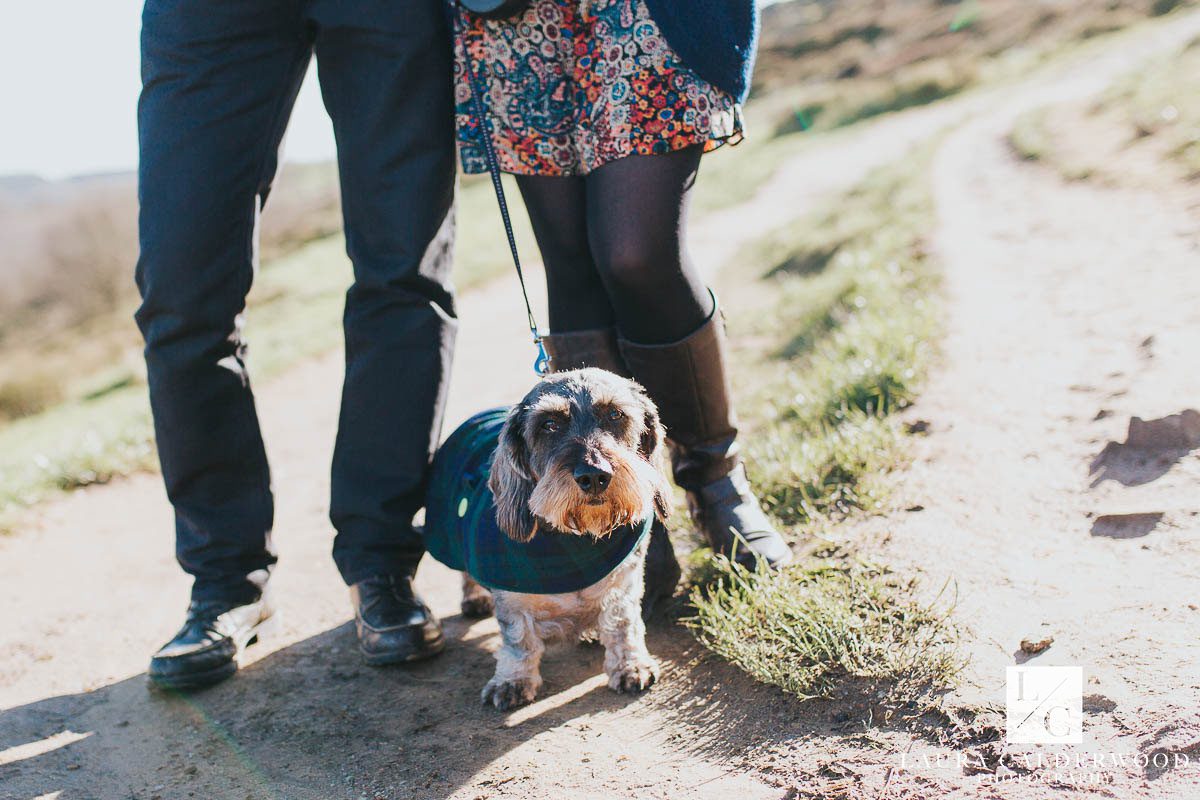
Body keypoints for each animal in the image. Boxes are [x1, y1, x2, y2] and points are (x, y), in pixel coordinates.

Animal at [460, 367, 676, 710]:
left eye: (615, 414)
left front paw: (630, 665)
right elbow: (518, 640)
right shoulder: (511, 598)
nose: (594, 476)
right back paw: (474, 597)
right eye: (549, 424)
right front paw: (512, 680)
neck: (575, 539)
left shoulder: (623, 583)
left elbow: (623, 623)